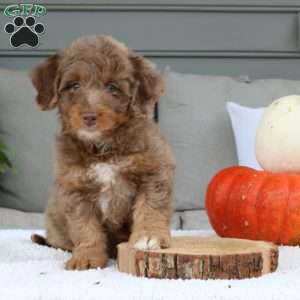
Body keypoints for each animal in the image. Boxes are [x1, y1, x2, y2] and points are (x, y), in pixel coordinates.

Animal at [29, 35, 176, 270]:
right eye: (74, 85)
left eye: (112, 87)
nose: (89, 116)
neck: (103, 147)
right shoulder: (75, 186)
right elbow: (85, 226)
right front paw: (87, 257)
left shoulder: (153, 170)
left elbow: (151, 206)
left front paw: (148, 236)